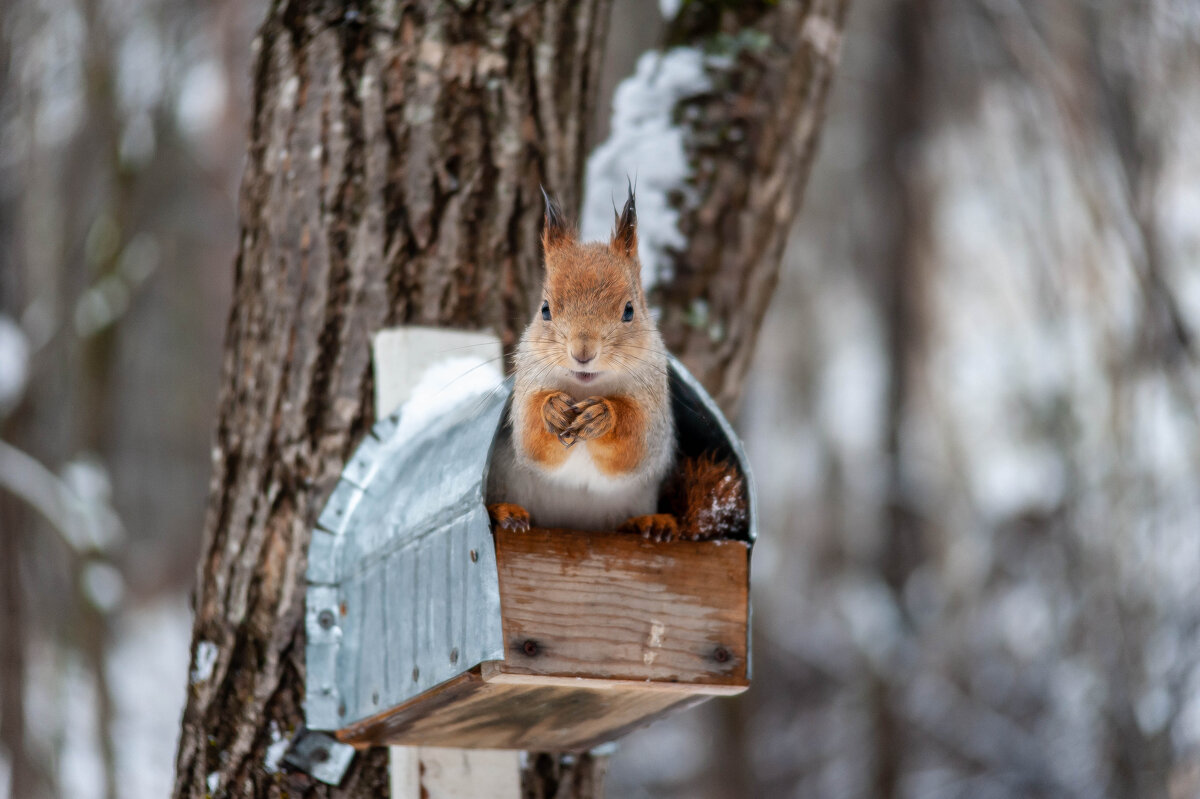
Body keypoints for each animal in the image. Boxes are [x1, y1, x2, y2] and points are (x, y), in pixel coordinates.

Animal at [482, 183, 681, 537]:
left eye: (629, 310)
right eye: (545, 309)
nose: (582, 352)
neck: (585, 388)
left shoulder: (653, 409)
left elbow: (635, 446)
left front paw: (603, 415)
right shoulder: (527, 390)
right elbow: (531, 440)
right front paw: (552, 408)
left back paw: (651, 523)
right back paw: (505, 513)